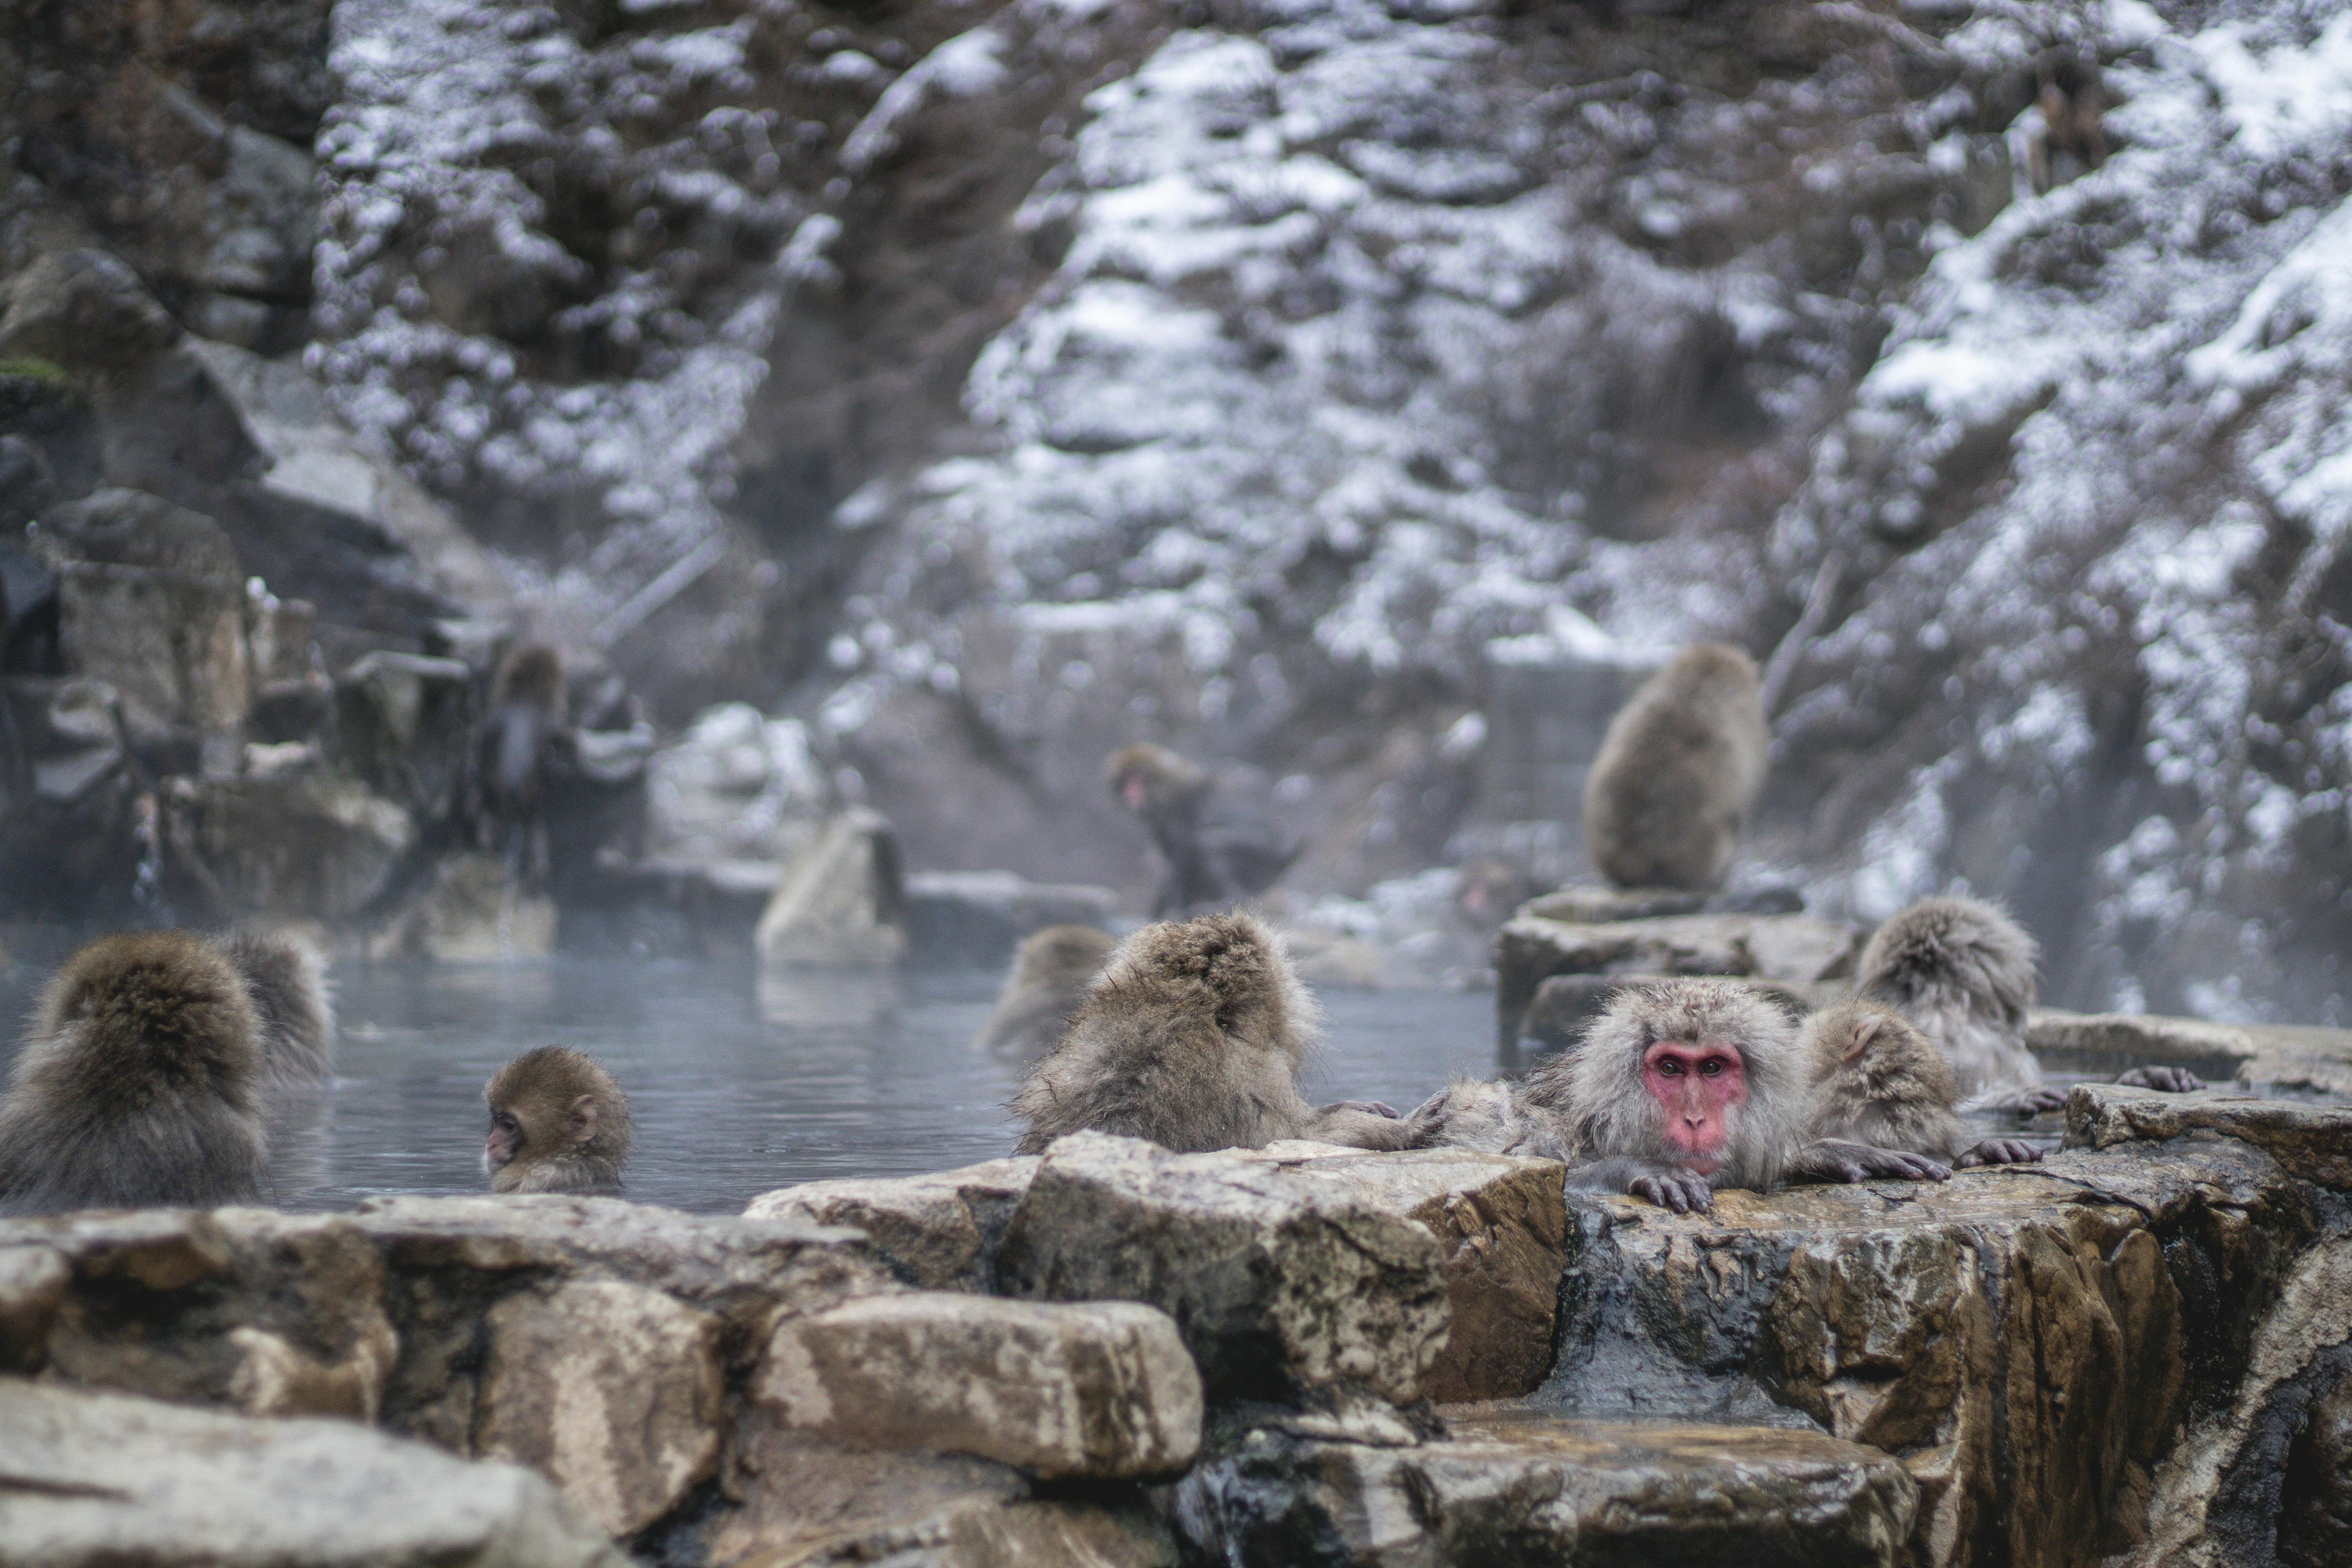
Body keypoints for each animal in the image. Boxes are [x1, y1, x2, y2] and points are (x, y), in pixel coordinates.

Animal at [1105, 744, 1302, 919]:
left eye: (1139, 776)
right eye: (1125, 780)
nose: (1131, 793)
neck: (1169, 788)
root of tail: (1287, 854)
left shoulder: (1173, 819)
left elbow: (1182, 866)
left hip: (1262, 858)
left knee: (1207, 844)